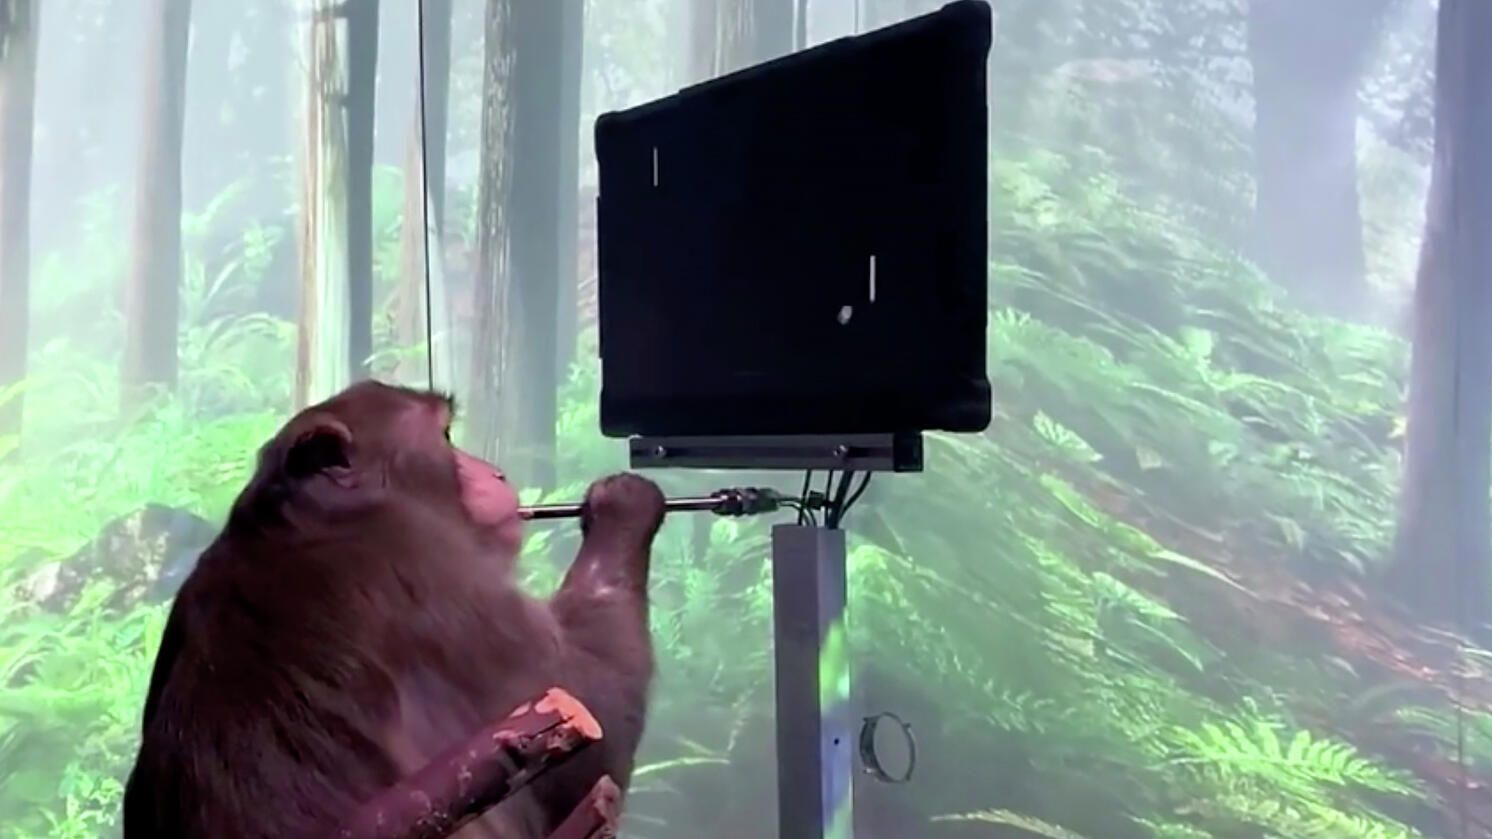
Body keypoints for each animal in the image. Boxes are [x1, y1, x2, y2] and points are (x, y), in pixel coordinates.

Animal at [121, 379, 666, 838]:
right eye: (445, 435)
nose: (498, 472)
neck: (315, 520)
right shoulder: (439, 572)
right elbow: (590, 722)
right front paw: (624, 506)